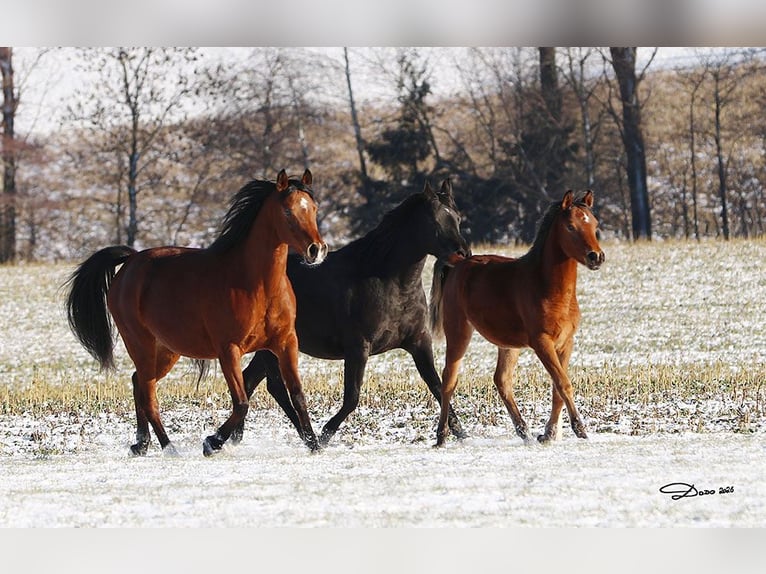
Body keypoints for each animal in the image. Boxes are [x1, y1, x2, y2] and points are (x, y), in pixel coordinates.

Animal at [65, 169, 328, 457]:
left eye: (313, 208)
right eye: (288, 211)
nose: (317, 250)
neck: (256, 284)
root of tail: (131, 261)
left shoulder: (285, 343)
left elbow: (298, 395)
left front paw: (314, 443)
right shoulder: (228, 349)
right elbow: (241, 402)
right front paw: (212, 442)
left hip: (167, 349)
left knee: (138, 383)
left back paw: (141, 444)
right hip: (140, 343)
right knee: (148, 393)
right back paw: (168, 447)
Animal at [230, 179, 472, 446]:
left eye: (457, 218)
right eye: (435, 220)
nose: (463, 253)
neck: (389, 281)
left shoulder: (418, 343)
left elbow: (439, 387)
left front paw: (462, 434)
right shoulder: (358, 349)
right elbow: (352, 398)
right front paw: (325, 435)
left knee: (250, 381)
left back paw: (235, 437)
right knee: (273, 387)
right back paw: (306, 439)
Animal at [429, 190, 605, 447]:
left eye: (594, 224)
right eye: (571, 226)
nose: (596, 256)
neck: (547, 287)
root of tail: (459, 263)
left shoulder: (566, 343)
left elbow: (557, 388)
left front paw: (548, 434)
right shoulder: (542, 343)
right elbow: (563, 383)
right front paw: (579, 429)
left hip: (508, 345)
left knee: (502, 380)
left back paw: (524, 432)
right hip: (459, 332)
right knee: (448, 381)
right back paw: (441, 436)